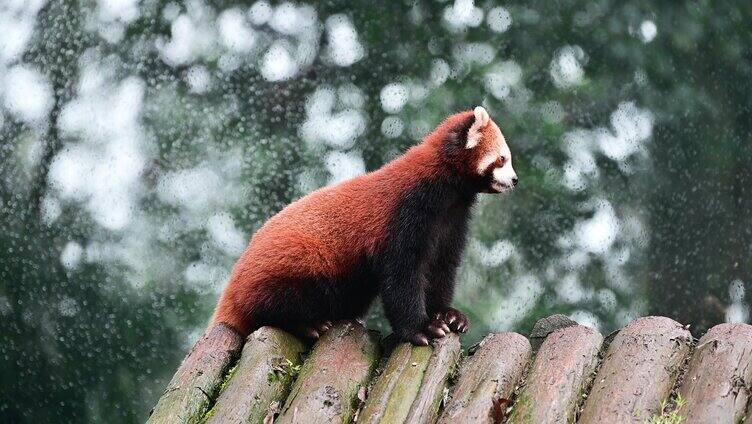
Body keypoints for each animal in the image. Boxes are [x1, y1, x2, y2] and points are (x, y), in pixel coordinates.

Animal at [212, 106, 516, 344]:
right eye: (502, 159)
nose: (515, 180)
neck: (447, 196)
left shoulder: (451, 224)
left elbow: (441, 269)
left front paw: (447, 315)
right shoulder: (404, 216)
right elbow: (401, 277)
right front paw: (421, 328)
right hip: (295, 266)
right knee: (277, 303)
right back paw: (307, 324)